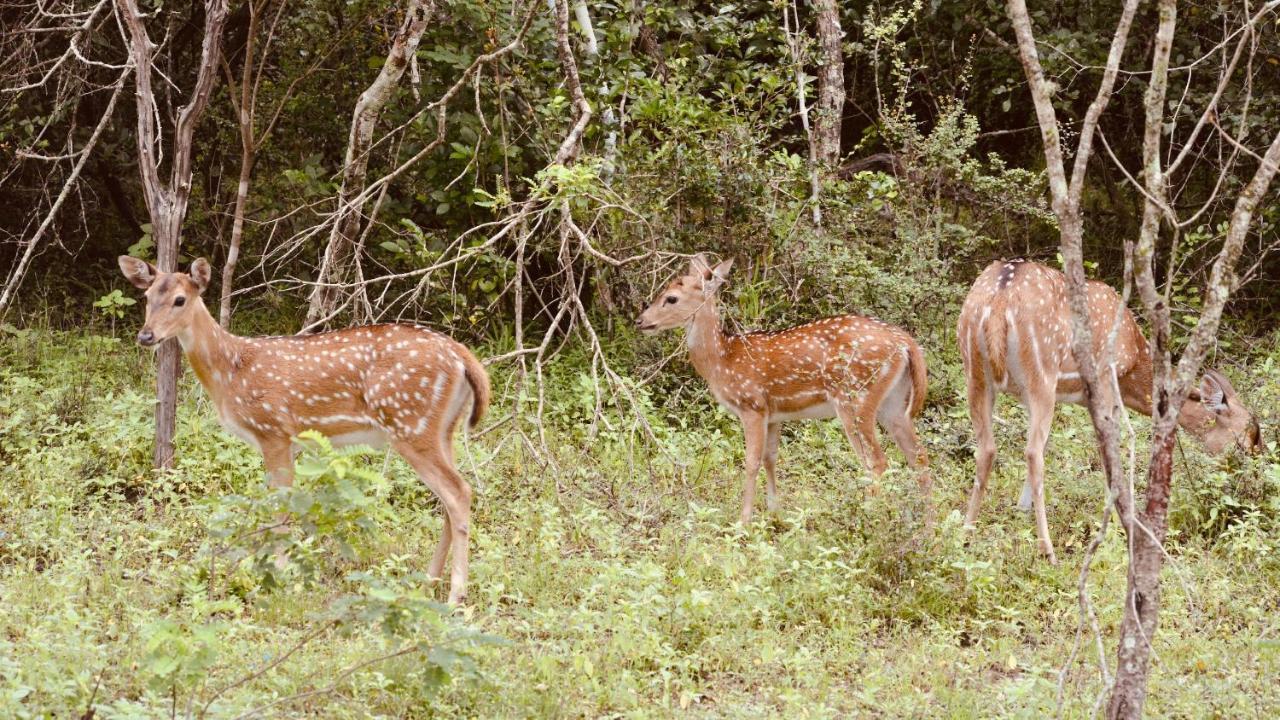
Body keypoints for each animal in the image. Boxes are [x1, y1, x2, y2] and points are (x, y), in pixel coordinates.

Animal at [119, 254, 488, 602]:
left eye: (180, 299)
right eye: (147, 296)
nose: (146, 335)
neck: (232, 371)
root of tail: (462, 355)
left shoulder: (273, 430)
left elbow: (280, 508)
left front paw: (279, 577)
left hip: (410, 423)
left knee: (458, 492)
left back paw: (456, 593)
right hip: (442, 429)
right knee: (450, 497)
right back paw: (427, 582)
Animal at [637, 253, 931, 520]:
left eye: (671, 298)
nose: (640, 321)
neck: (722, 361)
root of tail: (905, 342)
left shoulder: (752, 405)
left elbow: (751, 461)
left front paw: (744, 521)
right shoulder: (774, 414)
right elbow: (771, 458)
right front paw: (774, 513)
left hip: (856, 398)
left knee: (876, 462)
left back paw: (869, 517)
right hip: (893, 403)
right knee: (919, 457)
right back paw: (927, 525)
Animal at [962, 257, 1259, 561]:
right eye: (1247, 439)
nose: (1249, 481)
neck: (1134, 363)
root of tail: (1001, 297)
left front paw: (1022, 510)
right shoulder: (1106, 382)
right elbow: (1108, 454)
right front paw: (1118, 524)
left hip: (975, 371)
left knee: (988, 448)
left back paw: (966, 534)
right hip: (1041, 373)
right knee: (1032, 453)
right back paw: (1048, 550)